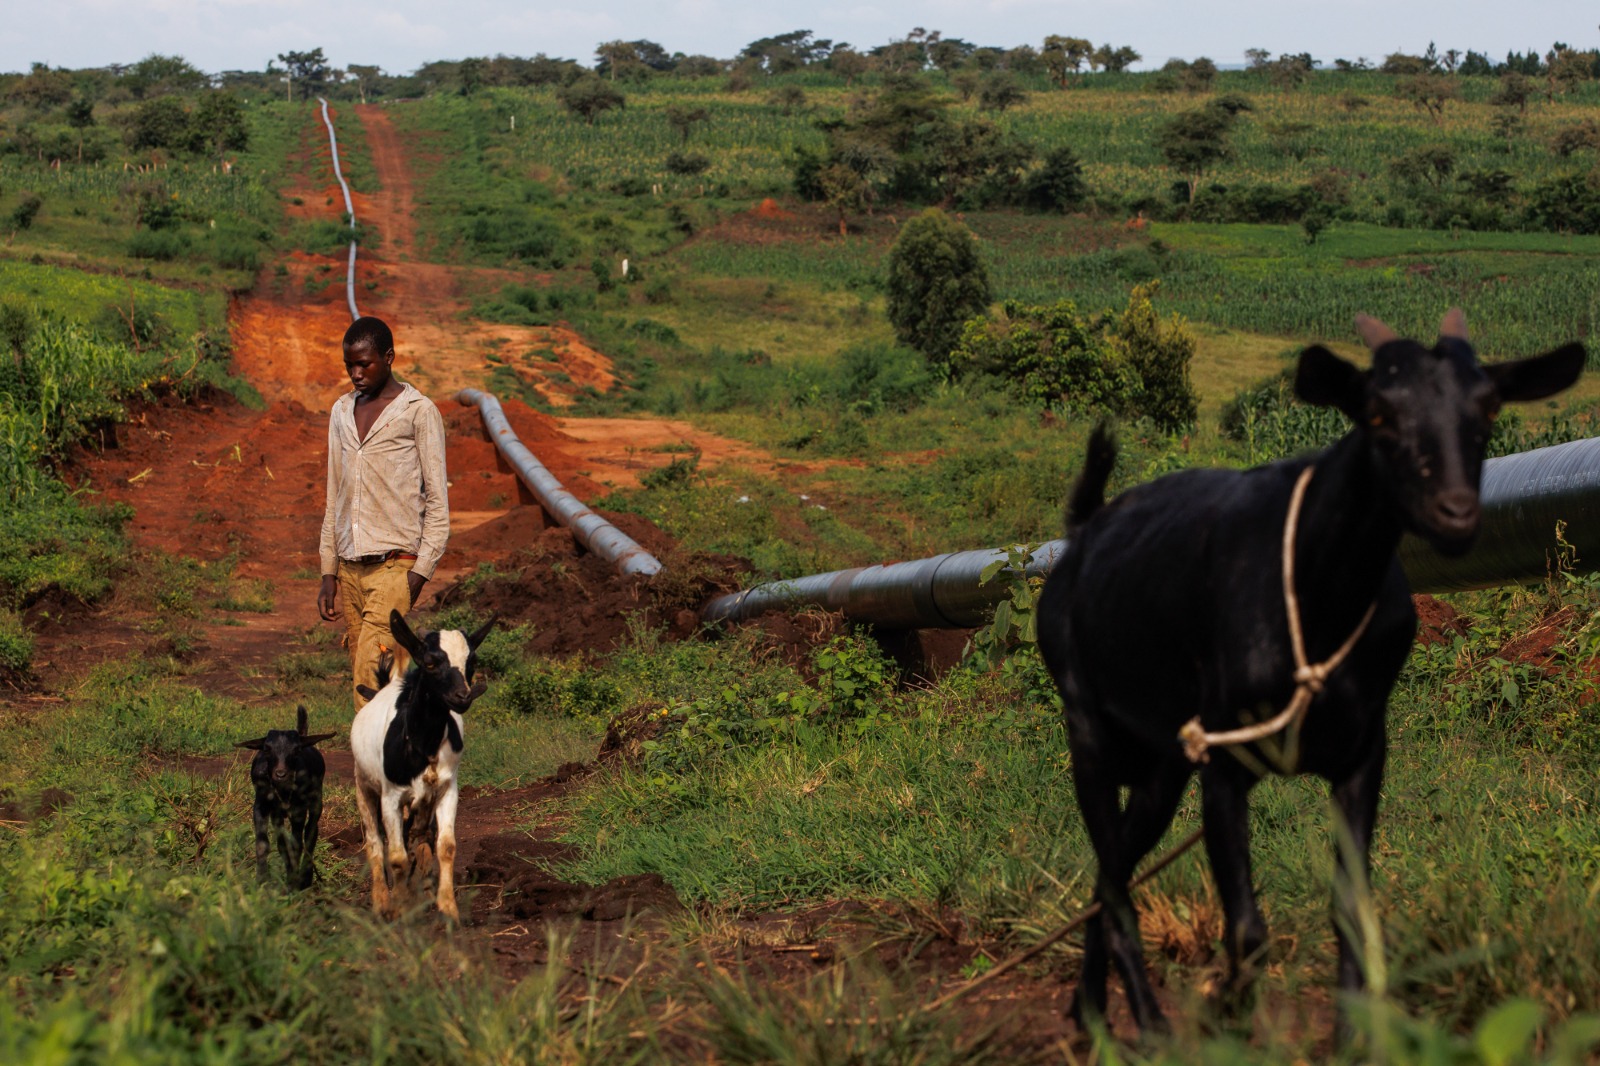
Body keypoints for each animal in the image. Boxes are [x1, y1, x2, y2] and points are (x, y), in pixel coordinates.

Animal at [353, 611, 489, 915]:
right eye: (430, 662)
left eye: (471, 662)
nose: (462, 697)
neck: (422, 744)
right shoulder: (390, 797)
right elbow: (396, 856)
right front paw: (401, 908)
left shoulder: (447, 790)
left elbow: (446, 847)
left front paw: (447, 907)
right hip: (363, 786)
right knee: (375, 844)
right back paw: (382, 901)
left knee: (418, 837)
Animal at [1030, 305, 1580, 1030]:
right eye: (1376, 412)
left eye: (1488, 409)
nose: (1457, 513)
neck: (1316, 599)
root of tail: (1078, 538)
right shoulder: (1224, 758)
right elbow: (1247, 929)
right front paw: (1224, 1016)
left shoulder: (1361, 755)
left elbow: (1352, 911)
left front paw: (1351, 1033)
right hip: (1088, 727)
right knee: (1114, 883)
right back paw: (1145, 1026)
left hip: (1163, 765)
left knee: (1109, 873)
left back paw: (1092, 1015)